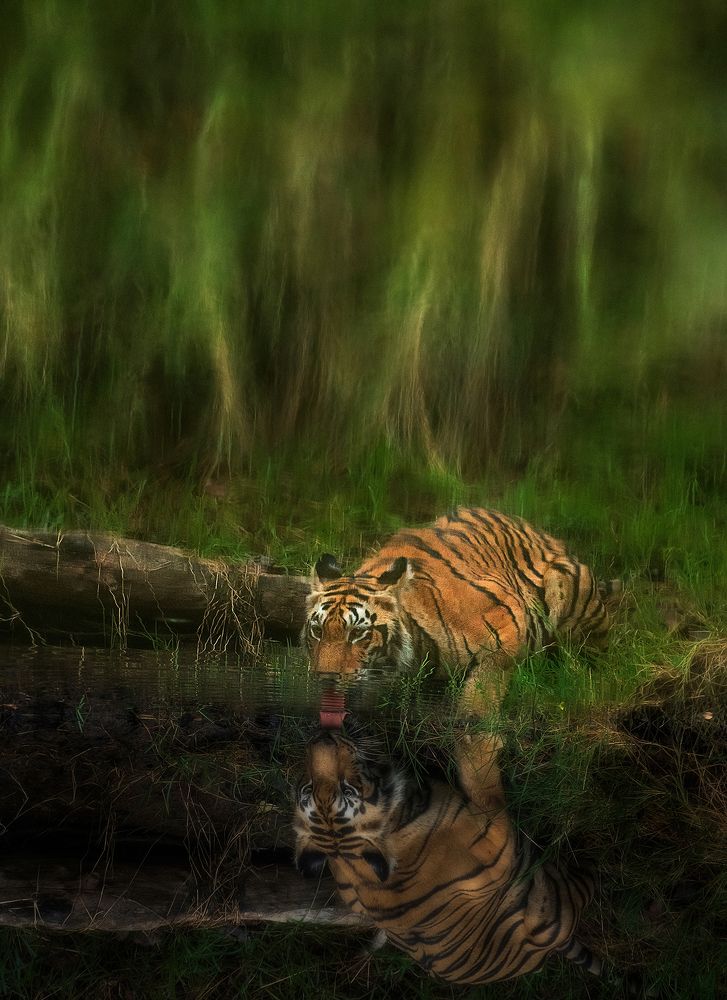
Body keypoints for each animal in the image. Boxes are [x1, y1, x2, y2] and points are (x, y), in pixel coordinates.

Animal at [293, 727, 601, 986]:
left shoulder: (350, 891)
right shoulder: (495, 839)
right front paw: (479, 743)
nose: (322, 739)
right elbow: (486, 786)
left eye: (344, 789)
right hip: (551, 900)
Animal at [303, 507, 620, 712]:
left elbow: (484, 685)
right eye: (317, 631)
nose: (326, 680)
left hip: (568, 587)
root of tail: (550, 538)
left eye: (358, 633)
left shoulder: (510, 623)